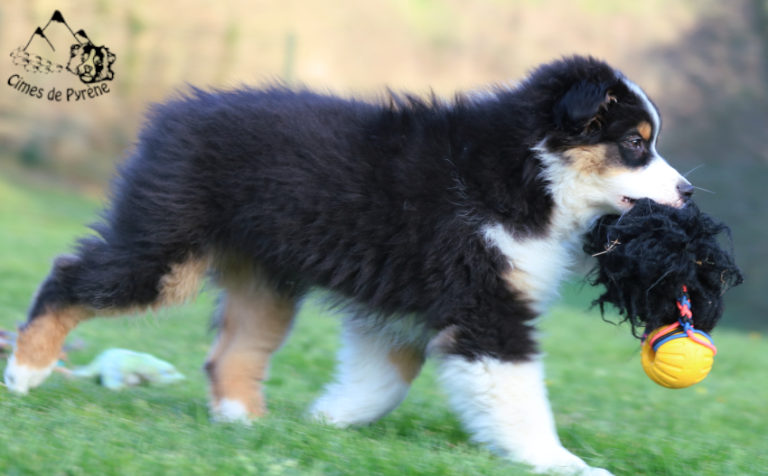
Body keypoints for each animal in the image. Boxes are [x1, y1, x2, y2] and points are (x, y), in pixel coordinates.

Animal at [4, 56, 693, 475]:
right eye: (635, 143)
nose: (687, 192)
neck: (531, 170)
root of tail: (176, 112)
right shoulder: (485, 304)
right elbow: (519, 395)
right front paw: (559, 462)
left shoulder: (406, 308)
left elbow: (385, 377)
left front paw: (328, 418)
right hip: (165, 250)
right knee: (70, 275)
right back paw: (26, 370)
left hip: (265, 282)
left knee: (231, 353)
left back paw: (248, 426)